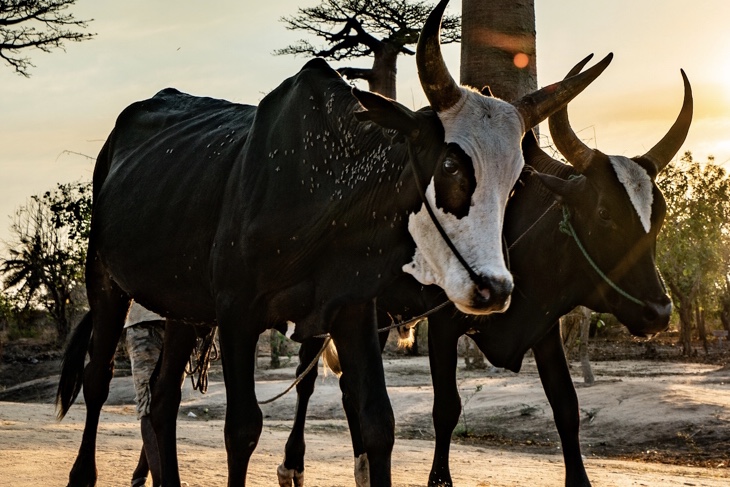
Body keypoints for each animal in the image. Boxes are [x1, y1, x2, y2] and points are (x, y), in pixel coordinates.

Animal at [52, 1, 608, 486]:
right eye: (451, 164)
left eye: (515, 180)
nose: (494, 288)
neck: (329, 192)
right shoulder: (236, 313)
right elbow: (242, 430)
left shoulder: (352, 310)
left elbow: (377, 424)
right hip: (105, 281)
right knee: (98, 383)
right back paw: (82, 473)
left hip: (183, 308)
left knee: (162, 401)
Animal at [276, 65, 692, 487]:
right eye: (605, 213)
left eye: (659, 216)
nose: (659, 312)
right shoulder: (443, 323)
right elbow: (446, 408)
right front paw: (439, 479)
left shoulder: (544, 327)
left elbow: (566, 406)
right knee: (308, 379)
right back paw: (294, 462)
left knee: (349, 387)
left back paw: (361, 466)